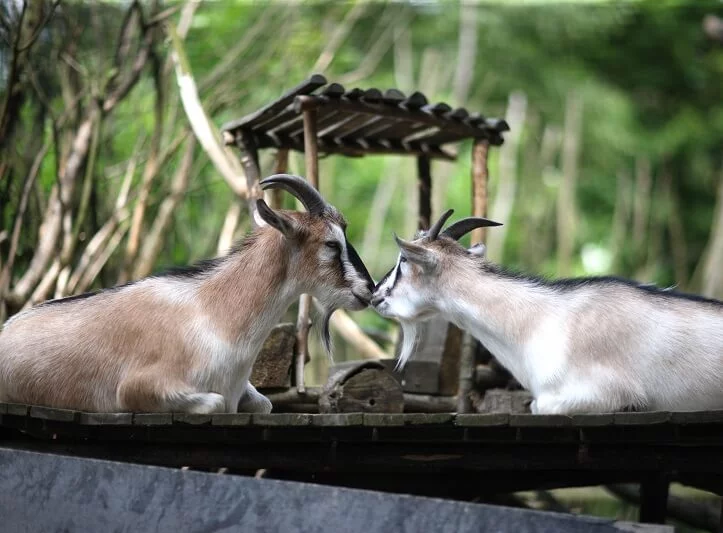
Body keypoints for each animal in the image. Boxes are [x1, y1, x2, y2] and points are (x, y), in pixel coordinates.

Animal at [0, 172, 374, 414]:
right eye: (331, 243)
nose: (368, 291)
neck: (214, 314)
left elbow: (264, 403)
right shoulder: (136, 389)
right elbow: (217, 403)